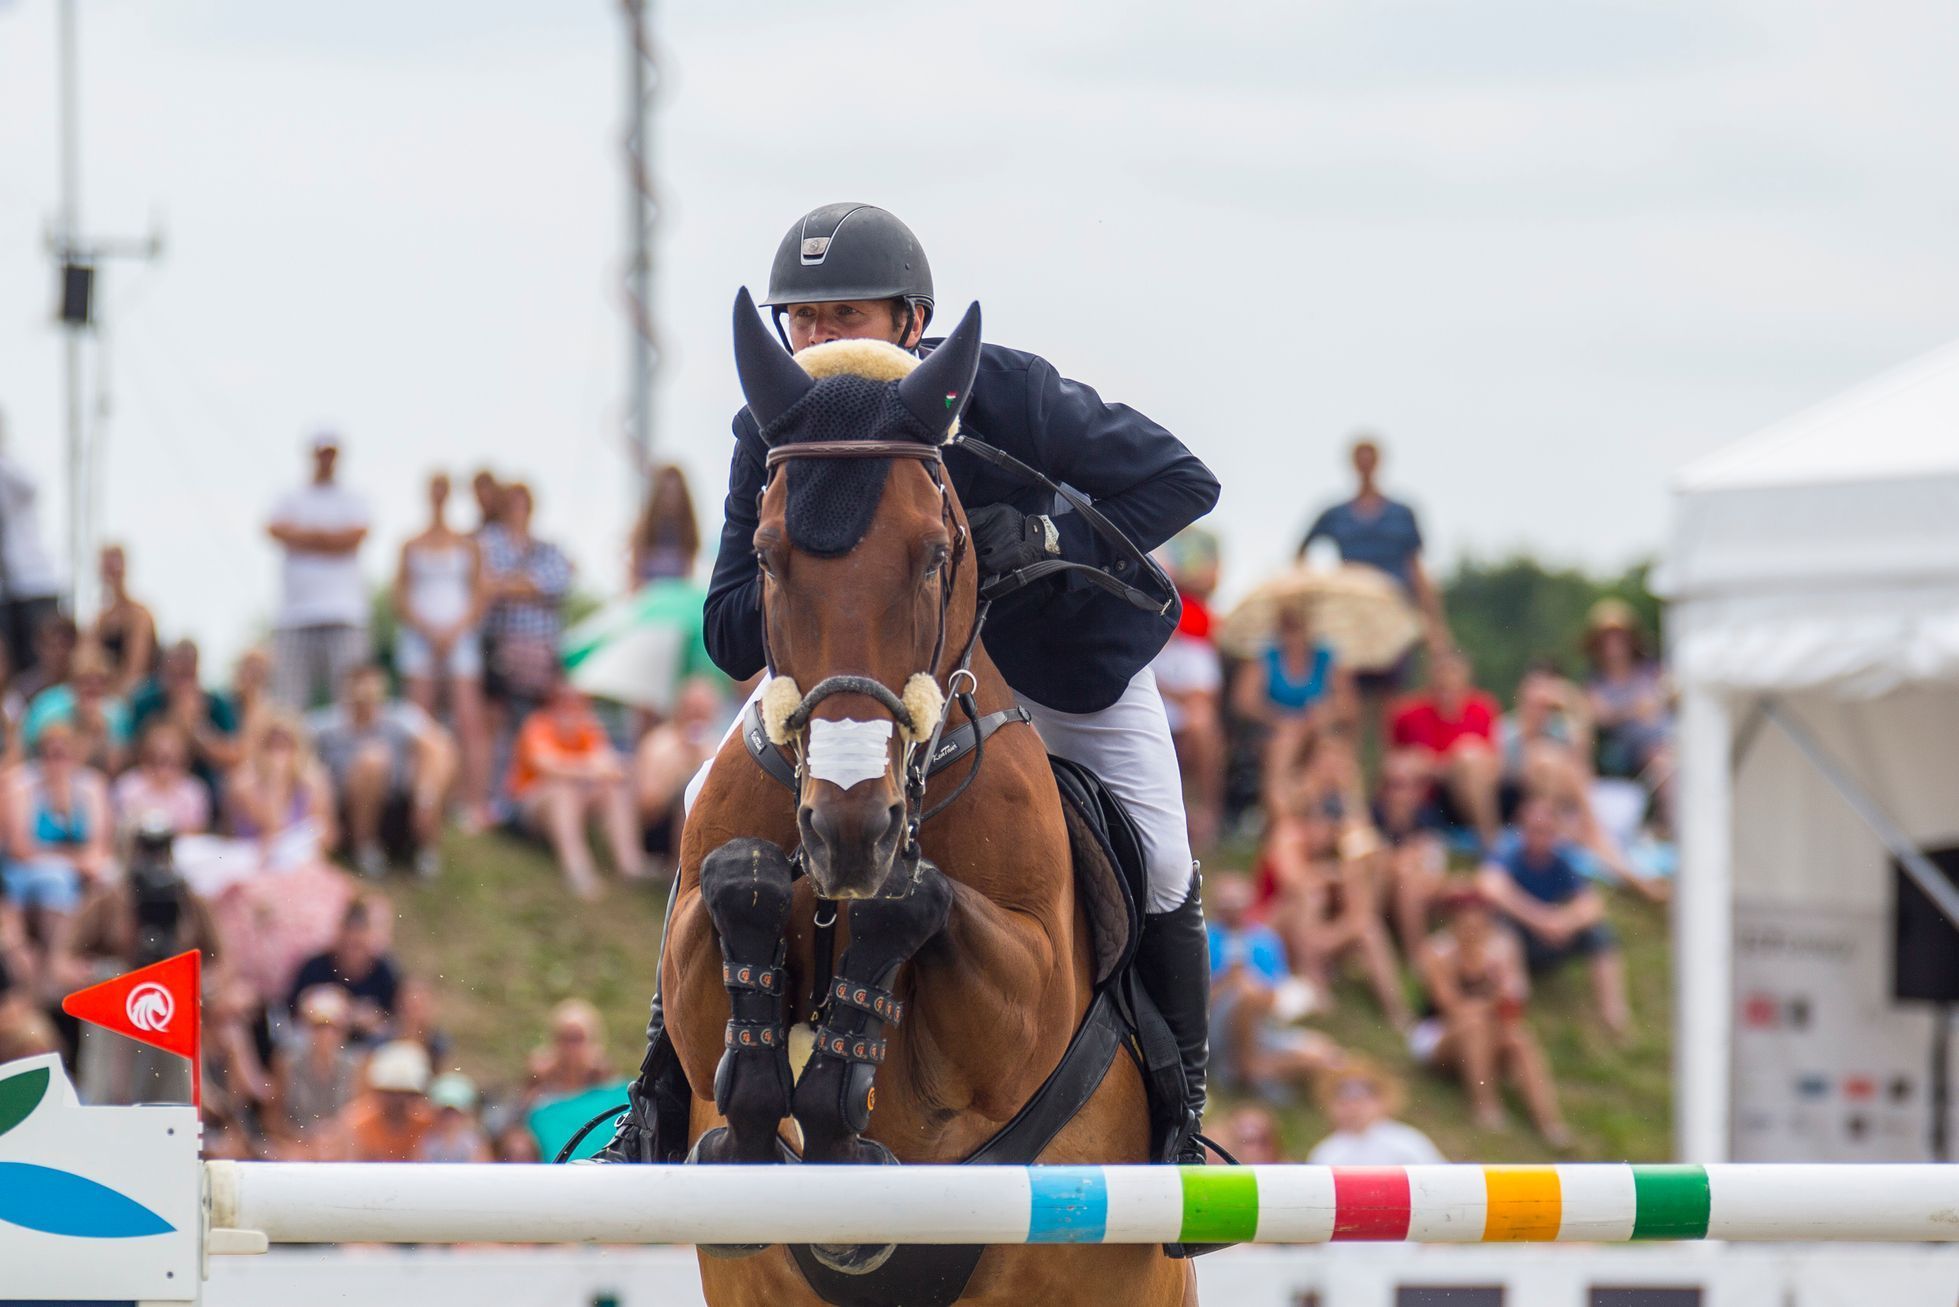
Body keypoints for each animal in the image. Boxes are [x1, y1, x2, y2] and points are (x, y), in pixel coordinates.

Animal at [662, 293, 1191, 1307]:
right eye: (765, 555)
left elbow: (917, 899)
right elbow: (738, 883)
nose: (848, 833)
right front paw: (760, 1115)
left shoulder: (1022, 997)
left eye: (937, 553)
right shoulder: (689, 966)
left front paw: (838, 1106)